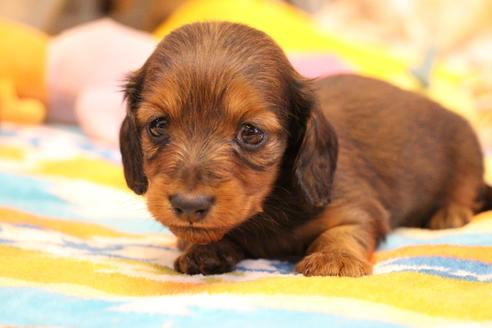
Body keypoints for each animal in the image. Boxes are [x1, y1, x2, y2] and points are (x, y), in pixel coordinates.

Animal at [119, 21, 492, 276]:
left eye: (251, 133)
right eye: (158, 126)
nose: (188, 204)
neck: (269, 207)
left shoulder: (357, 207)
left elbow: (343, 232)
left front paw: (334, 259)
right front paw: (205, 250)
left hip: (464, 152)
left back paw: (449, 213)